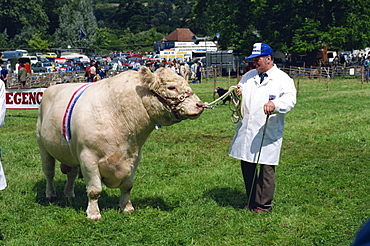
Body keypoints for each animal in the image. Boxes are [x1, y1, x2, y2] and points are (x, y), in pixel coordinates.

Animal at [36, 66, 205, 220]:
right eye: (171, 87)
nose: (200, 105)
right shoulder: (88, 157)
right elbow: (94, 190)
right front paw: (93, 214)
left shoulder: (134, 157)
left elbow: (127, 186)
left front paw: (127, 207)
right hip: (43, 147)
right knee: (49, 173)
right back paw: (51, 195)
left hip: (70, 153)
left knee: (71, 174)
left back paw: (69, 194)